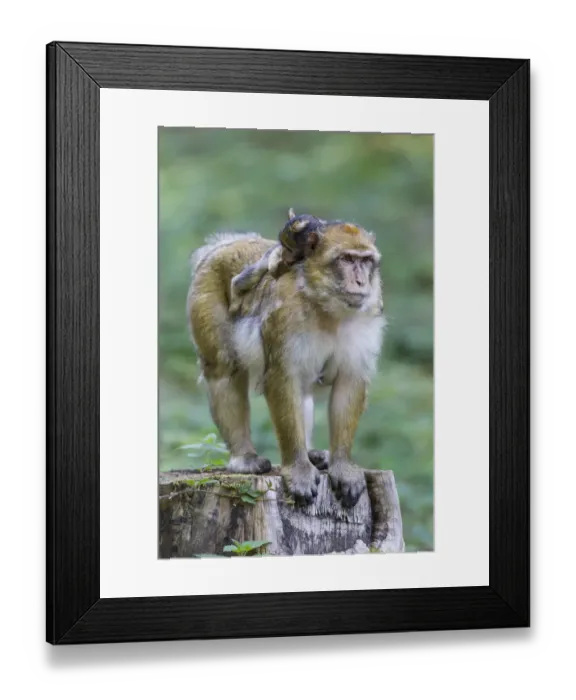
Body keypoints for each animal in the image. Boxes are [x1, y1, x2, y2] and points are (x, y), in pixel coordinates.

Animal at [187, 211, 386, 508]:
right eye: (347, 259)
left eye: (366, 261)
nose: (361, 282)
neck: (325, 306)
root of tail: (227, 244)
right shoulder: (285, 320)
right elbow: (282, 379)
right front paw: (299, 470)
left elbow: (349, 383)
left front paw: (342, 466)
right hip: (205, 295)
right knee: (224, 372)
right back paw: (244, 457)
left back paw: (313, 454)